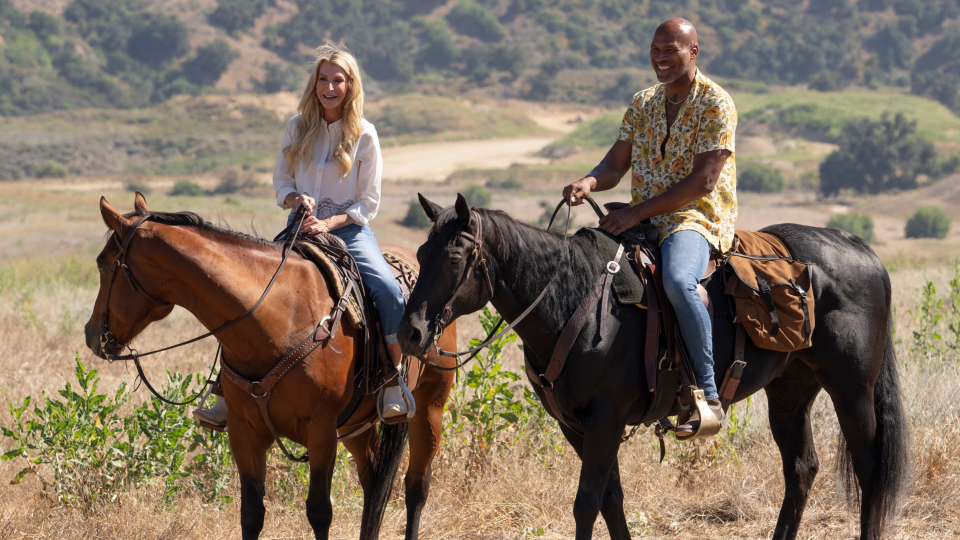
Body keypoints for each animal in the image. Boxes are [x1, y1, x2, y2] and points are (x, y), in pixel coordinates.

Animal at [84, 194, 456, 540]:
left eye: (103, 264)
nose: (91, 335)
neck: (278, 316)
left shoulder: (321, 433)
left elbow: (319, 512)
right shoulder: (244, 432)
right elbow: (251, 513)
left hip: (429, 407)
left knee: (416, 486)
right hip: (357, 425)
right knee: (373, 483)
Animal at [398, 195, 908, 540]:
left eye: (455, 257)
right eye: (420, 255)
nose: (411, 333)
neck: (574, 300)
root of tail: (860, 247)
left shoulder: (604, 419)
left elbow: (586, 504)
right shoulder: (576, 425)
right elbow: (611, 500)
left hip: (852, 389)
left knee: (868, 468)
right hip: (789, 392)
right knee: (801, 468)